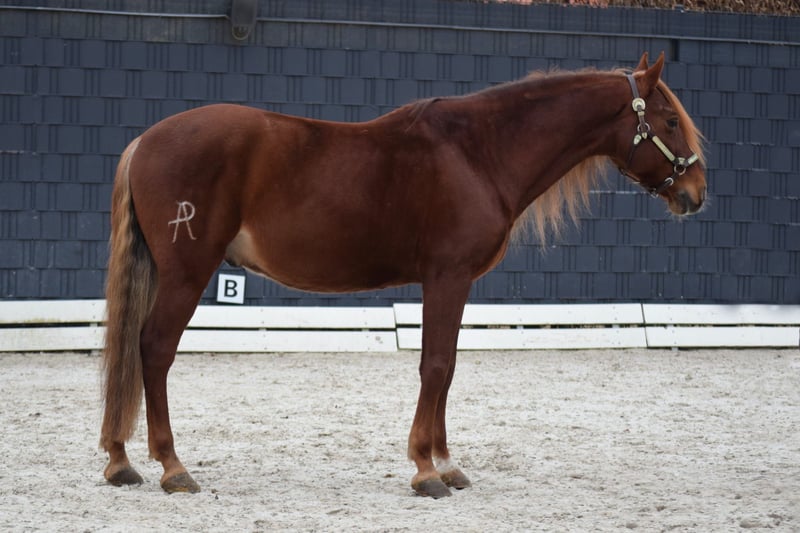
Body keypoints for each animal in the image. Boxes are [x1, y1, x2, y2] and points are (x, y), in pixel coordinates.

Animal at [100, 52, 706, 498]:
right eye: (672, 120)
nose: (695, 194)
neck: (476, 152)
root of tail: (145, 141)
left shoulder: (456, 284)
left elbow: (449, 366)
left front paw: (446, 462)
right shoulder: (446, 277)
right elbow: (434, 367)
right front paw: (425, 470)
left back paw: (120, 461)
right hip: (187, 274)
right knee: (153, 349)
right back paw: (173, 468)